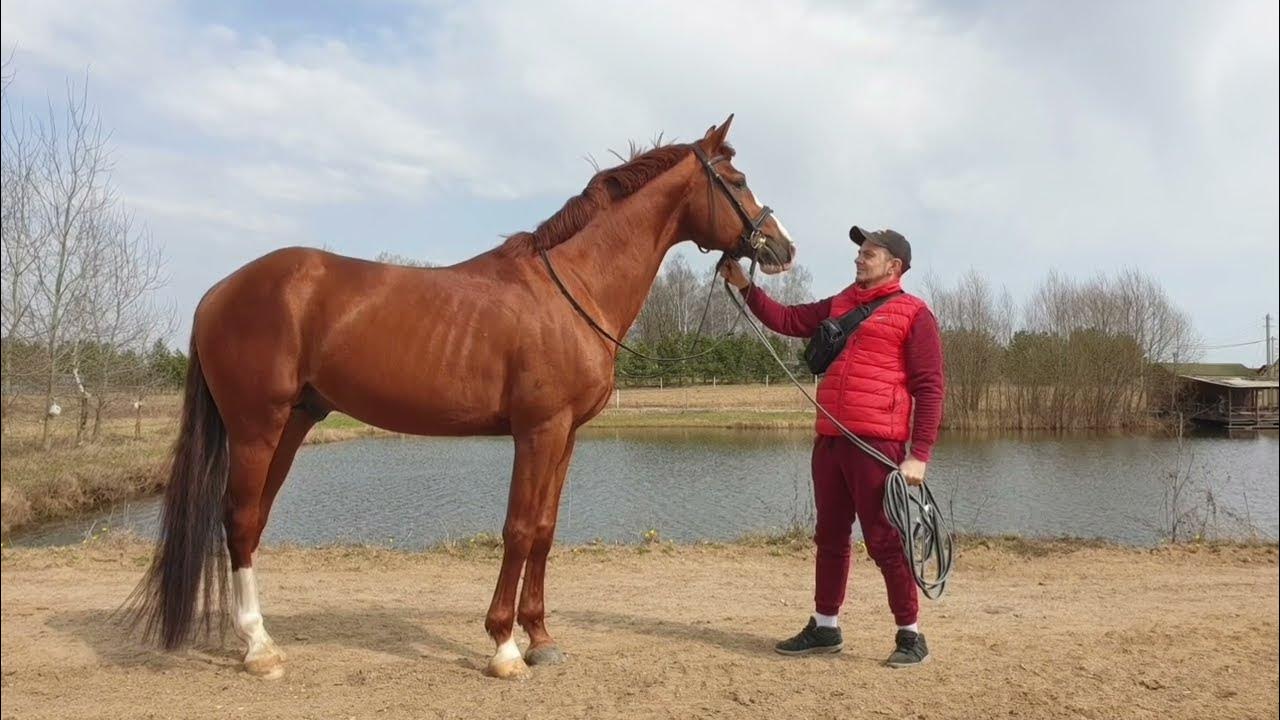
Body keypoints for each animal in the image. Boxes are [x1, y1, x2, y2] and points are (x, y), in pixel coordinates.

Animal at [127, 114, 788, 676]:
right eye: (736, 180)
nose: (782, 247)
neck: (572, 289)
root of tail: (218, 291)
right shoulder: (537, 430)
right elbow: (518, 528)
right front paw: (504, 647)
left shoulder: (566, 435)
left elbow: (544, 528)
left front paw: (541, 638)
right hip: (256, 427)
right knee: (239, 520)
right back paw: (259, 649)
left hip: (293, 422)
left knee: (254, 519)